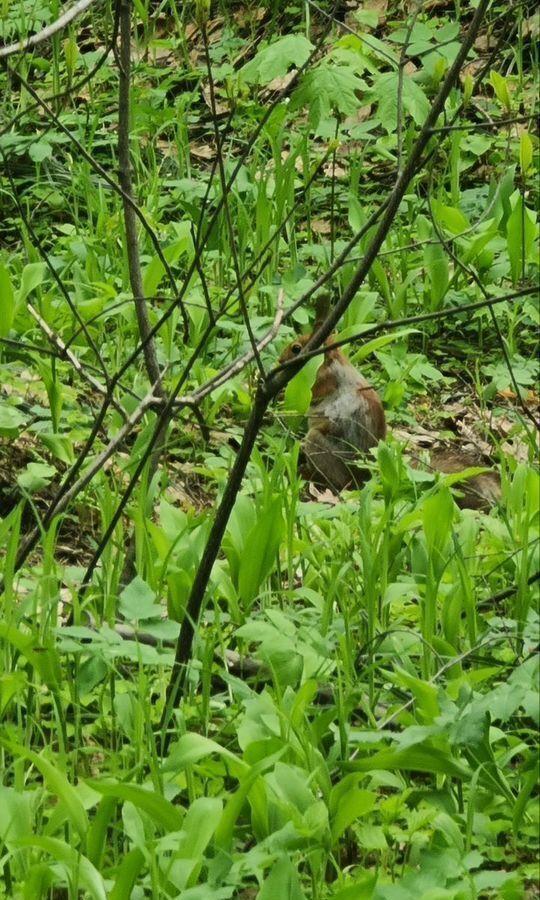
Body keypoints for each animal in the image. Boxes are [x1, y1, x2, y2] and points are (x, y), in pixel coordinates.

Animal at [280, 334, 500, 510]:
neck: (332, 361)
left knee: (337, 481)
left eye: (296, 348)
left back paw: (307, 472)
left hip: (319, 446)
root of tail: (363, 476)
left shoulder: (323, 380)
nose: (280, 361)